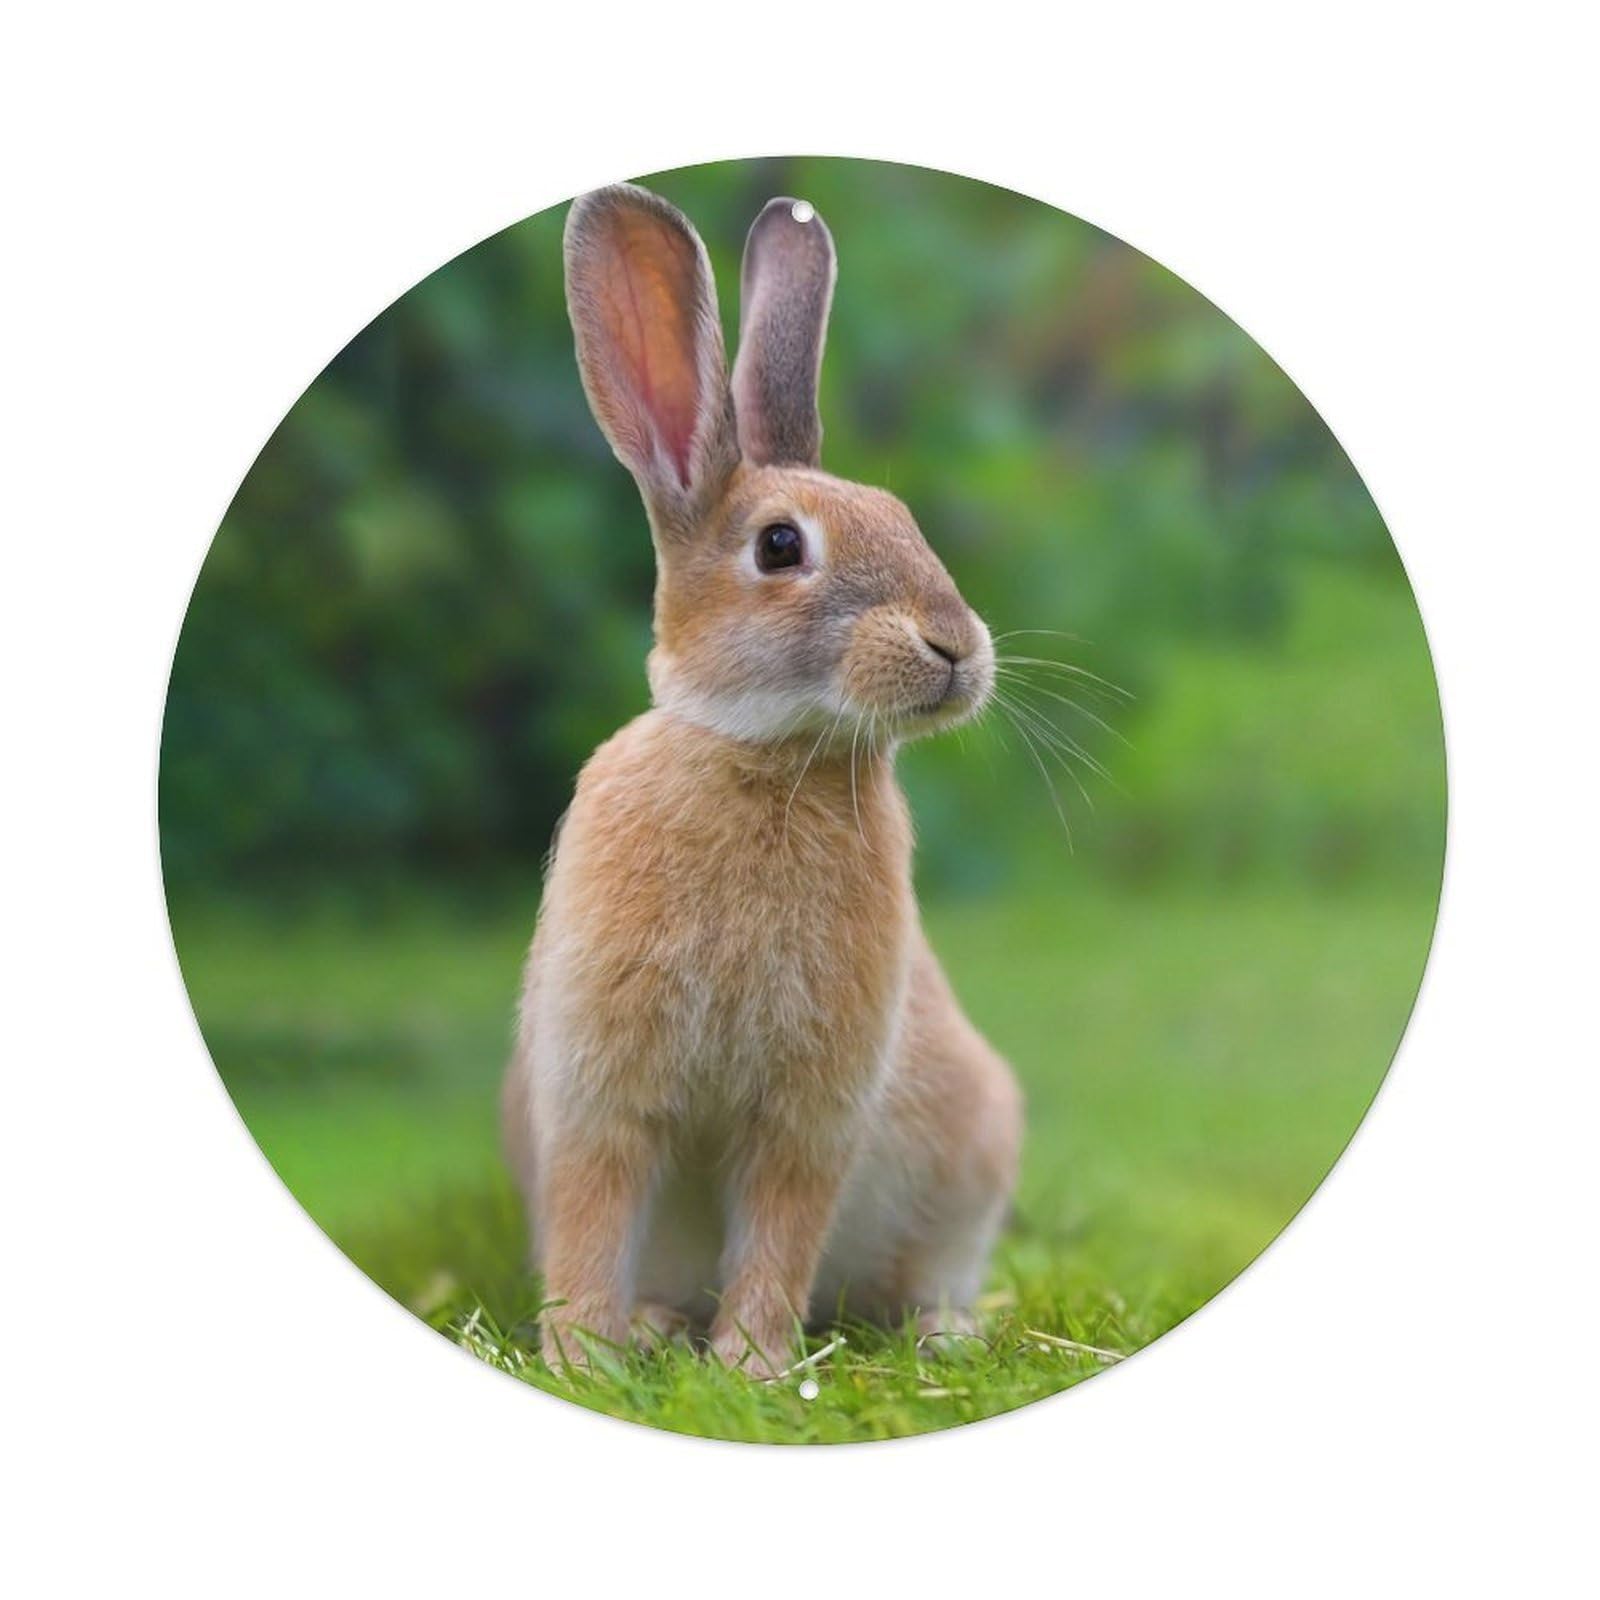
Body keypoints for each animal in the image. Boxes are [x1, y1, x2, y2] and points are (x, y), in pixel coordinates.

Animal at [502, 182, 1022, 1377]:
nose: (955, 648)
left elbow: (781, 1227)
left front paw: (751, 1364)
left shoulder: (809, 1107)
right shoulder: (598, 1086)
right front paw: (584, 1355)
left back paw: (943, 1332)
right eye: (780, 547)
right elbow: (594, 1212)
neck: (767, 754)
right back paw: (654, 1326)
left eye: (905, 519)